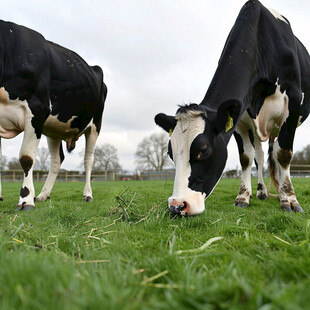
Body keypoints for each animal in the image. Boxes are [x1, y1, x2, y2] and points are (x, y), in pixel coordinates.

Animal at [0, 20, 107, 211]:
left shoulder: (36, 110)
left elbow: (26, 158)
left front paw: (25, 200)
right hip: (53, 128)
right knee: (57, 160)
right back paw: (43, 195)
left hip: (95, 125)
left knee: (88, 159)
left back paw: (87, 194)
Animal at [155, 0, 310, 216]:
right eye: (170, 152)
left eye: (203, 150)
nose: (177, 205)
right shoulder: (240, 118)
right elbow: (246, 157)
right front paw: (243, 197)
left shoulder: (293, 102)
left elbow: (284, 153)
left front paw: (290, 200)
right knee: (260, 155)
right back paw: (262, 191)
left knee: (277, 153)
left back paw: (281, 193)